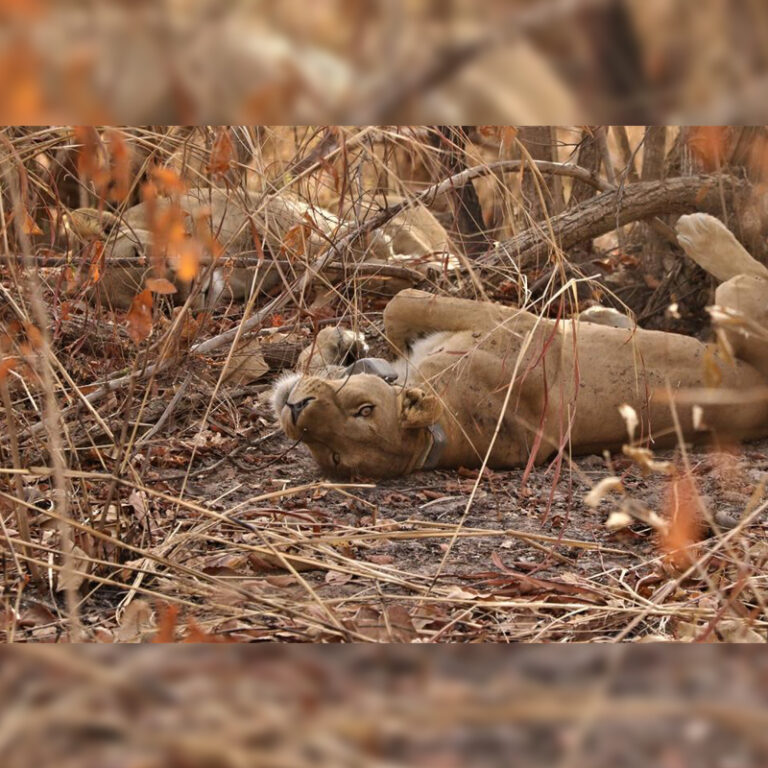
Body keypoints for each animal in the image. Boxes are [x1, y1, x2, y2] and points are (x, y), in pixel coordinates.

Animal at [273, 213, 768, 478]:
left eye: (364, 410)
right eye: (332, 454)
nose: (296, 411)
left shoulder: (506, 320)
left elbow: (397, 306)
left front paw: (348, 342)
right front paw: (341, 344)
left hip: (734, 300)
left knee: (752, 273)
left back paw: (699, 230)